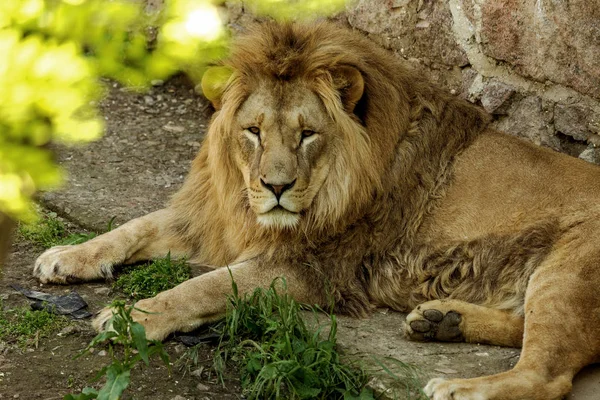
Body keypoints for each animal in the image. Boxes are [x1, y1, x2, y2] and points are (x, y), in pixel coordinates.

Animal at [34, 21, 600, 400]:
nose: (276, 186)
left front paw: (131, 316)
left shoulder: (314, 266)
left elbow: (204, 286)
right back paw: (443, 321)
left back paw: (458, 386)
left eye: (307, 134)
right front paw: (67, 256)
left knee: (548, 375)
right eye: (253, 131)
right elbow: (135, 226)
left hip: (568, 267)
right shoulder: (218, 216)